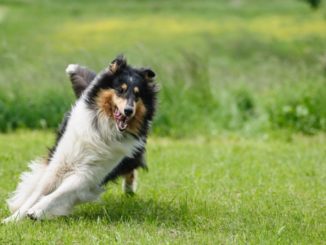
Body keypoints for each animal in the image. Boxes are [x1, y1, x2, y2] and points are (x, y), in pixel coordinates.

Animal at [2, 55, 158, 222]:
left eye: (137, 94)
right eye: (120, 90)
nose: (129, 111)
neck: (103, 130)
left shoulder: (89, 174)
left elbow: (60, 192)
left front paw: (36, 211)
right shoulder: (60, 163)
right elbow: (40, 190)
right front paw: (12, 219)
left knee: (131, 169)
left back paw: (129, 190)